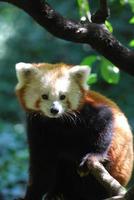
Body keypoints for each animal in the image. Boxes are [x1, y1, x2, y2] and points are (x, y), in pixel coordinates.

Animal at [15, 62, 133, 200]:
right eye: (44, 96)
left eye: (62, 96)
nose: (54, 110)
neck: (56, 122)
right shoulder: (37, 126)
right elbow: (42, 166)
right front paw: (31, 195)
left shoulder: (84, 112)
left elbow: (106, 119)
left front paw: (95, 155)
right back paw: (56, 193)